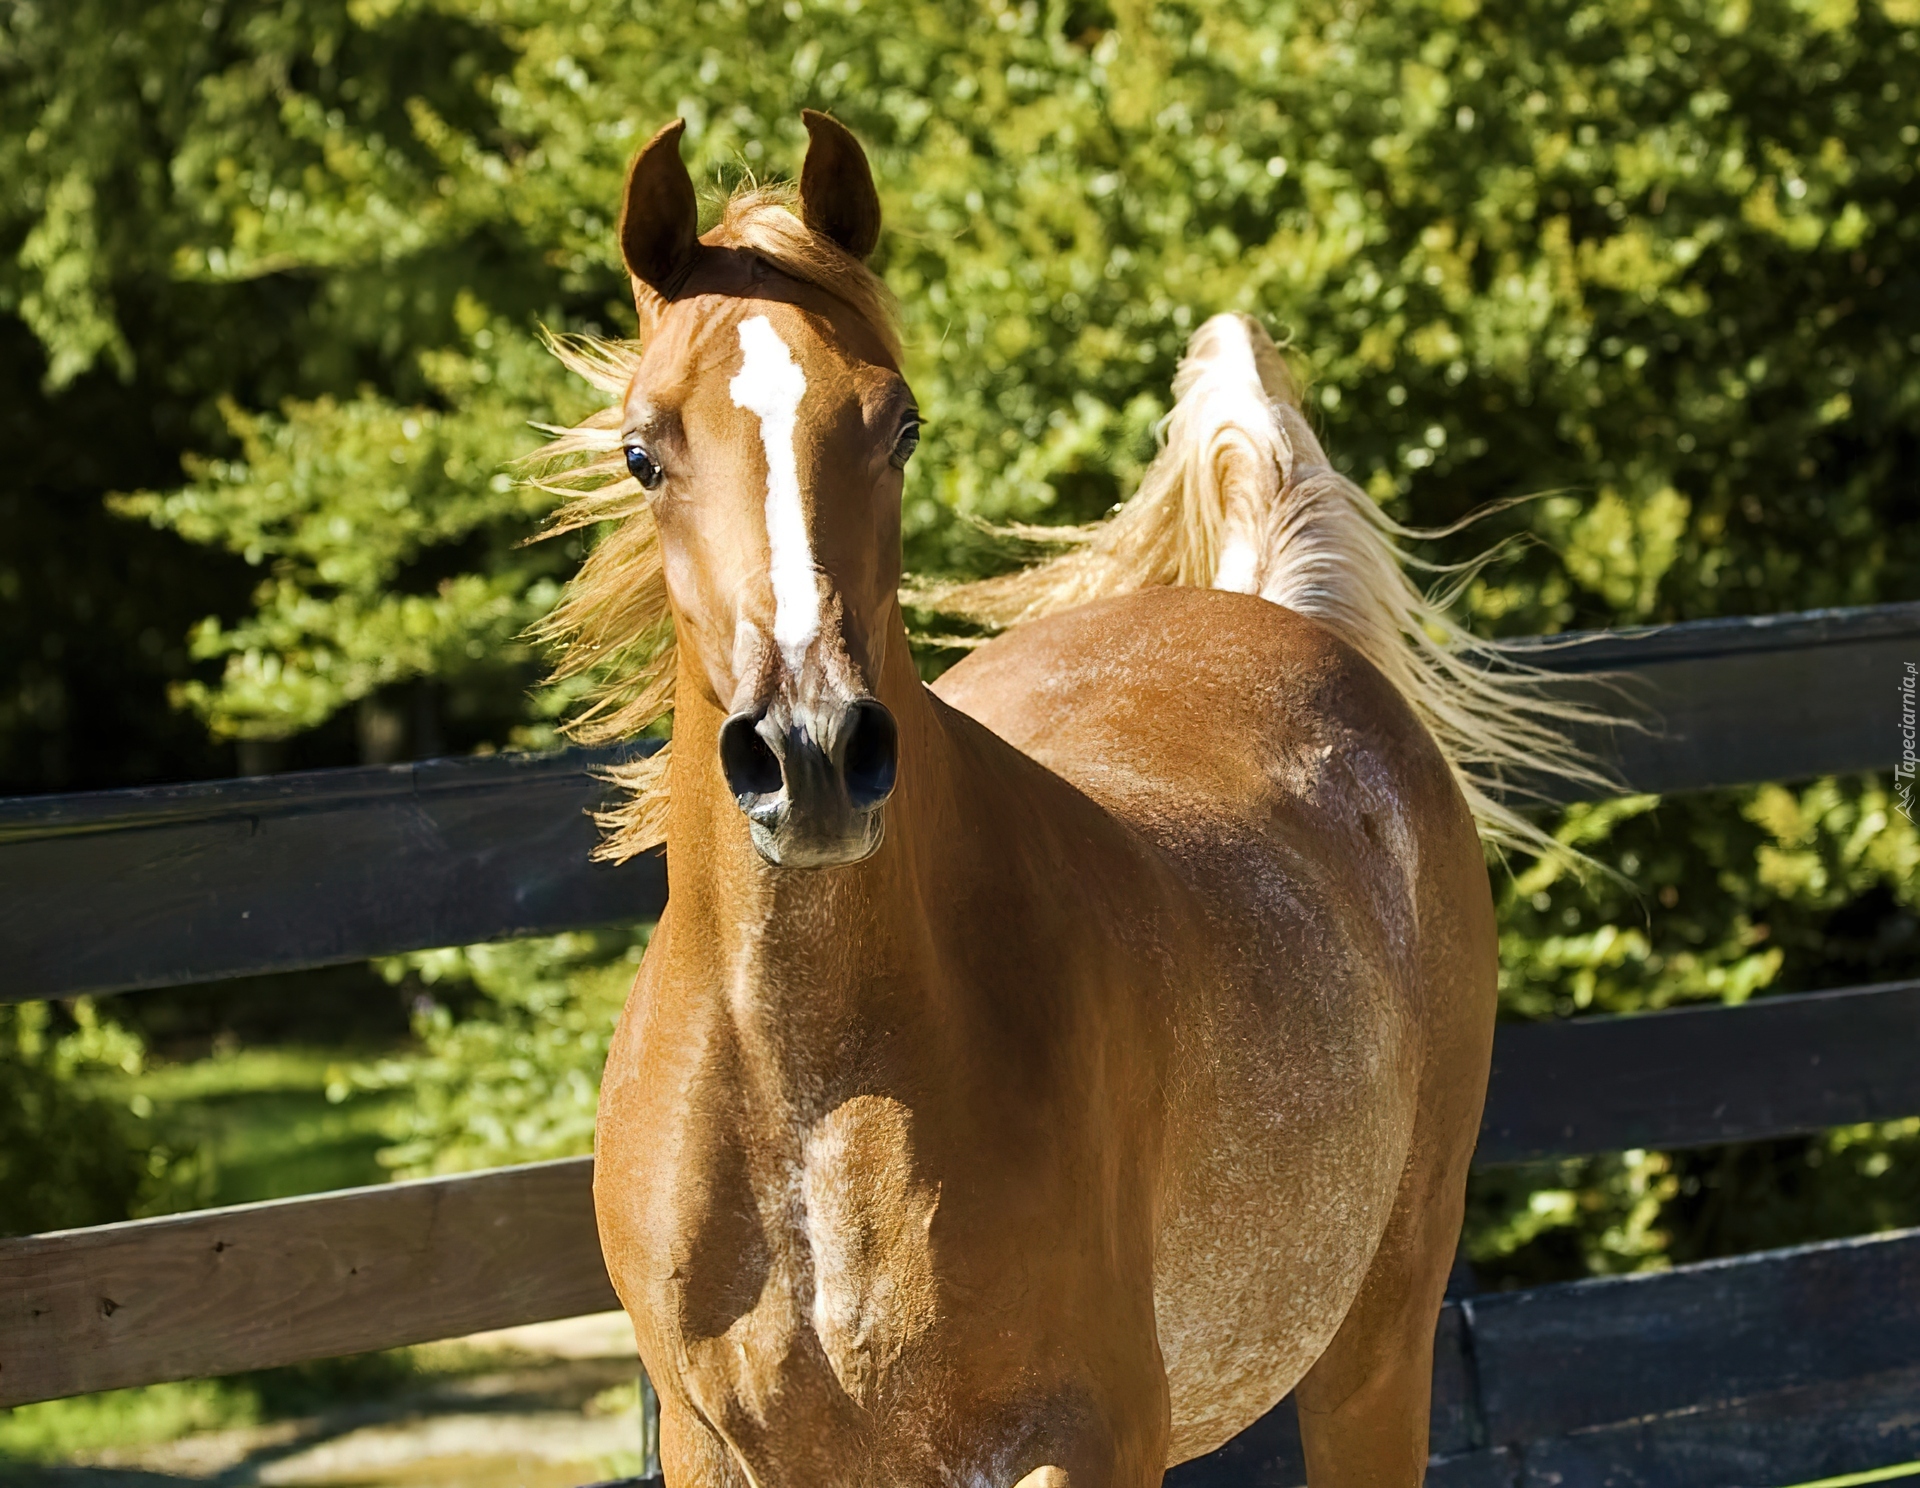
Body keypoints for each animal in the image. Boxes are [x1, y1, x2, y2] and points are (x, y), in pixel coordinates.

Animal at [545, 113, 1605, 1488]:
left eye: (900, 425)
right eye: (641, 450)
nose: (811, 751)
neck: (815, 1094)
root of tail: (1276, 615)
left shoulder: (1091, 1438)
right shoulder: (714, 1446)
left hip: (1374, 1350)